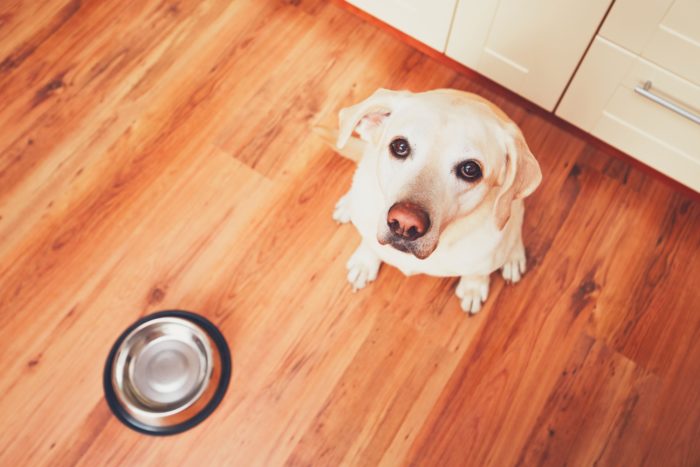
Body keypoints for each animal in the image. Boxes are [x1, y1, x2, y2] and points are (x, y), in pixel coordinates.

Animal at [330, 88, 540, 314]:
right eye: (400, 146)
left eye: (470, 169)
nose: (404, 223)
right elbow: (369, 244)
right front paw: (365, 262)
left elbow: (478, 272)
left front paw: (473, 287)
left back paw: (514, 257)